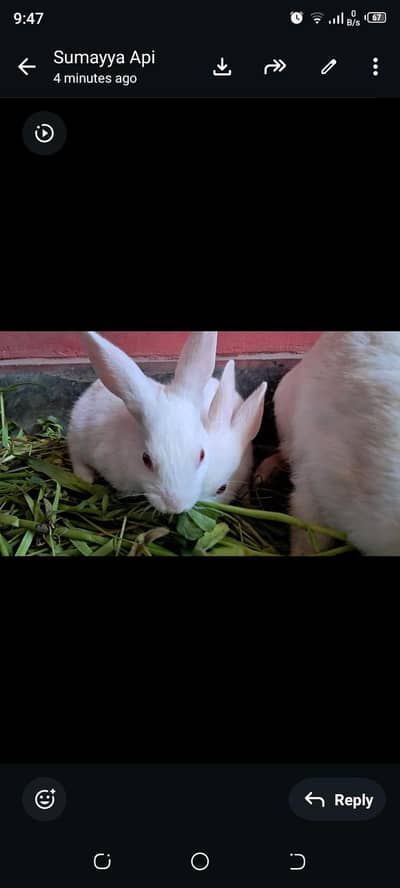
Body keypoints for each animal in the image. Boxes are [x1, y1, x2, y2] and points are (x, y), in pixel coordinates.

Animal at [68, 331, 219, 514]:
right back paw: (86, 477)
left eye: (202, 455)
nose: (175, 507)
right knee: (76, 457)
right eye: (146, 459)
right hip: (77, 435)